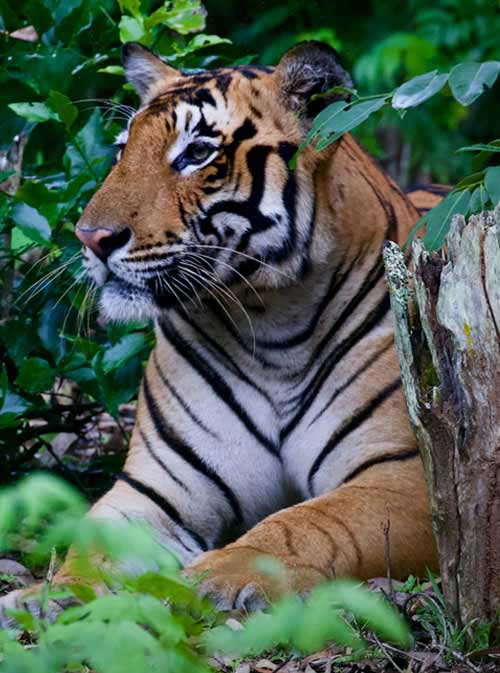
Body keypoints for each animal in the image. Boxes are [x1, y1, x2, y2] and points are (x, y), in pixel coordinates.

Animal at [1, 40, 439, 621]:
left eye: (196, 153)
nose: (91, 237)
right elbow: (91, 546)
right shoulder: (158, 485)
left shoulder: (405, 475)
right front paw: (47, 599)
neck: (272, 325)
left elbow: (307, 522)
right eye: (121, 152)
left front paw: (219, 576)